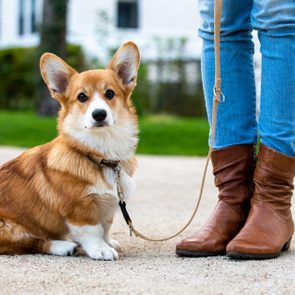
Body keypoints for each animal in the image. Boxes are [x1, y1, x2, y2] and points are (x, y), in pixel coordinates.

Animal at [0, 41, 140, 262]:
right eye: (81, 97)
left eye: (110, 93)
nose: (99, 114)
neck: (100, 154)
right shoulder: (79, 207)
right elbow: (93, 230)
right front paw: (101, 249)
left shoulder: (108, 206)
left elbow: (106, 226)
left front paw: (108, 242)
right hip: (9, 227)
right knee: (31, 242)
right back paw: (63, 246)